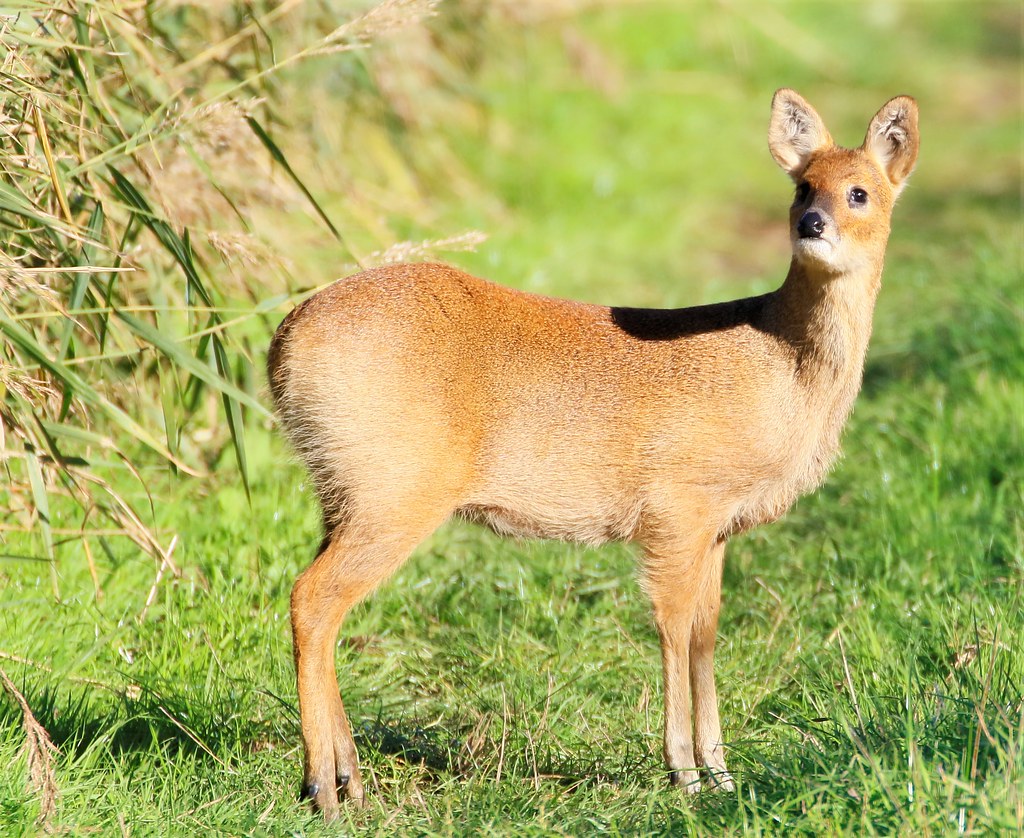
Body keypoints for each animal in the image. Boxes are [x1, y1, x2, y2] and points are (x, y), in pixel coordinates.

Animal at [267, 89, 919, 818]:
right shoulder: (678, 506)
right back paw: (322, 788)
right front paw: (685, 773)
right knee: (311, 599)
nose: (810, 223)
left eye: (859, 191)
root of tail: (282, 344)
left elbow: (706, 634)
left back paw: (347, 778)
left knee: (320, 606)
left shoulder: (717, 526)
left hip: (342, 491)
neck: (782, 364)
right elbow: (672, 628)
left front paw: (722, 773)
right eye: (802, 185)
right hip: (396, 490)